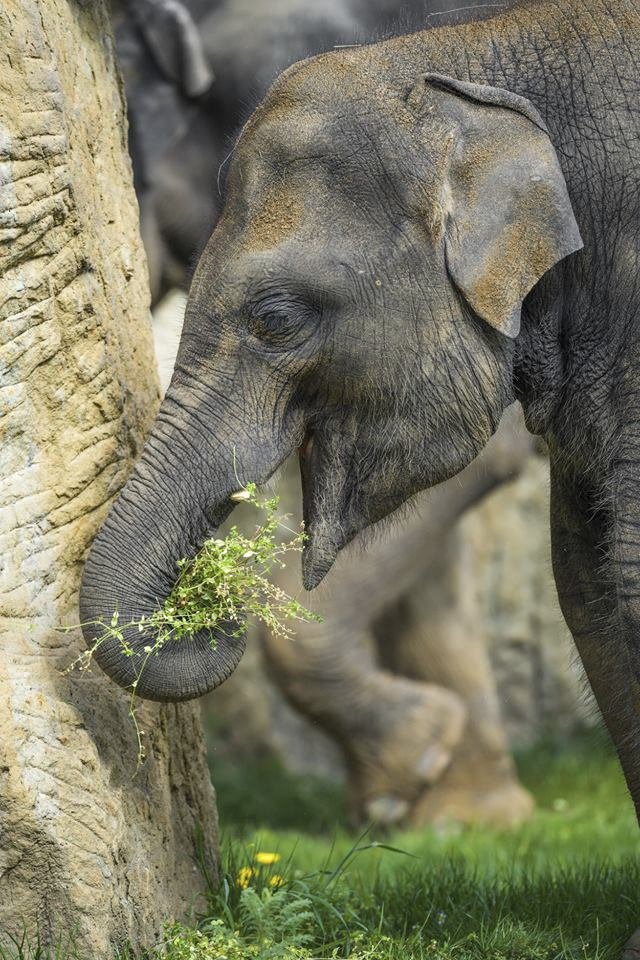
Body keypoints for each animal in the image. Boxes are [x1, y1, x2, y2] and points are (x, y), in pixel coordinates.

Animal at [81, 0, 640, 948]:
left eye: (275, 319)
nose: (211, 606)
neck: (472, 64)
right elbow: (590, 591)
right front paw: (443, 799)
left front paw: (411, 777)